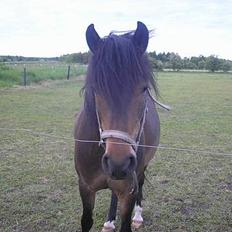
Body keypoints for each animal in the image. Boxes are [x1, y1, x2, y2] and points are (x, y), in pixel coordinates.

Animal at [74, 21, 160, 232]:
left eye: (144, 89)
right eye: (95, 88)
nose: (119, 162)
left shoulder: (128, 190)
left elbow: (126, 222)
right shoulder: (85, 187)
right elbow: (86, 221)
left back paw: (137, 216)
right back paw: (109, 221)